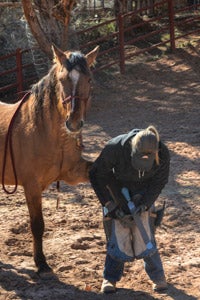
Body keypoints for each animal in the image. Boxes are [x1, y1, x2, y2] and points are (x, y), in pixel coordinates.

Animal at [0, 44, 99, 274]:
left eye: (89, 79)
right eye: (62, 80)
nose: (74, 122)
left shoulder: (74, 172)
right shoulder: (31, 186)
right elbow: (37, 225)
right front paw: (41, 263)